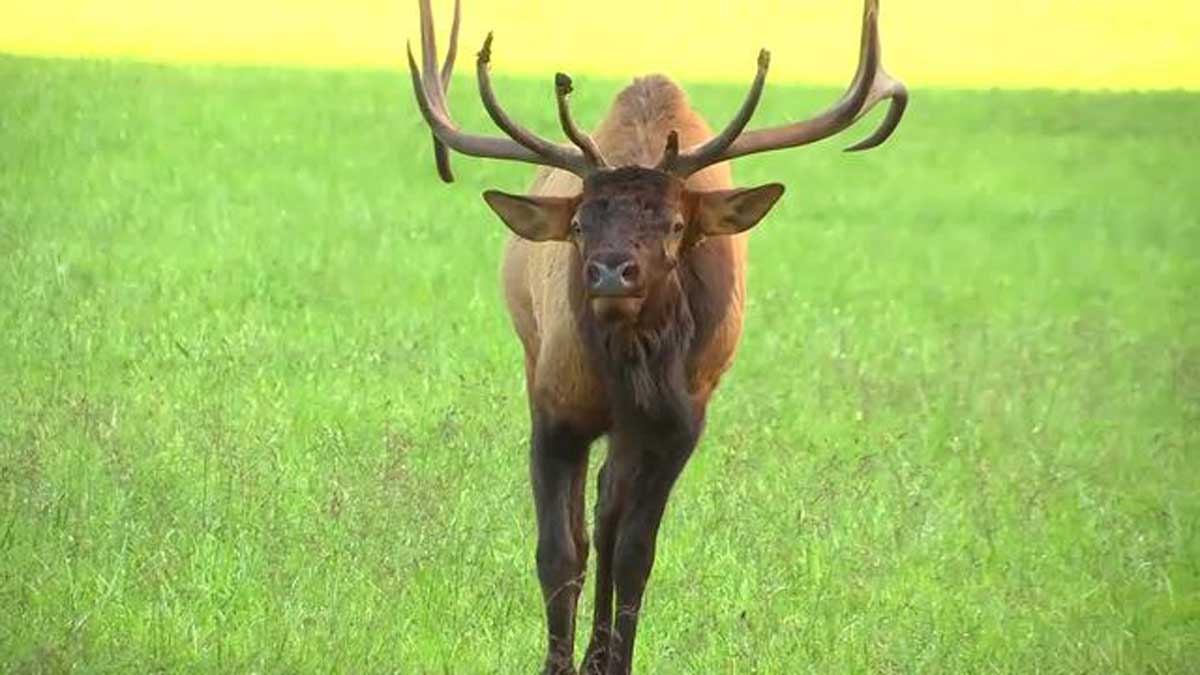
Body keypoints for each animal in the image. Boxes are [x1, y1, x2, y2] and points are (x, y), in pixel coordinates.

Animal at [408, 2, 902, 667]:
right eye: (581, 223)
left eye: (673, 224)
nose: (610, 271)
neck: (629, 363)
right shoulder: (555, 405)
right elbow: (559, 552)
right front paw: (557, 662)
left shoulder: (679, 421)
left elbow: (635, 553)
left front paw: (614, 660)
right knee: (593, 521)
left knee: (610, 516)